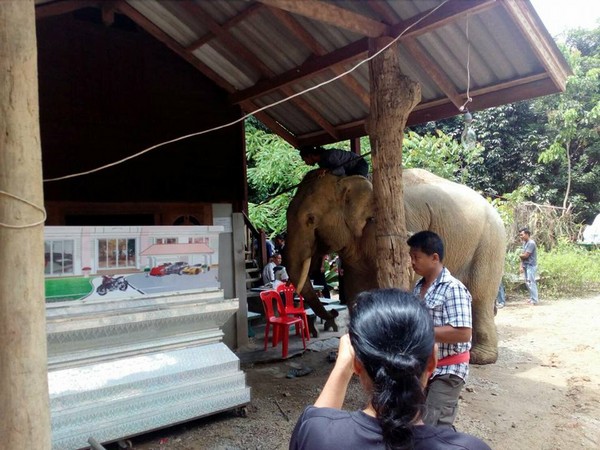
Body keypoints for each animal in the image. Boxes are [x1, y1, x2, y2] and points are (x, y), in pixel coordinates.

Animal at [286, 167, 506, 364]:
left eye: (310, 219)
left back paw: (480, 358)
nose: (332, 312)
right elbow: (355, 289)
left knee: (480, 295)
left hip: (490, 243)